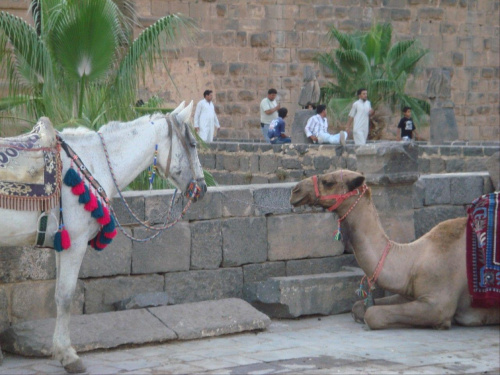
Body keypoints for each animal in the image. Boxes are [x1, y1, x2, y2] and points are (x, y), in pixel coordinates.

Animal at [0, 100, 206, 374]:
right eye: (192, 144)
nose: (202, 188)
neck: (92, 159)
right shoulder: (74, 243)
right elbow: (65, 296)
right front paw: (68, 355)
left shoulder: (62, 244)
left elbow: (58, 295)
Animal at [290, 169, 500, 330]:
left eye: (328, 182)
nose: (295, 191)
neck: (413, 258)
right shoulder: (408, 291)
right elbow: (358, 306)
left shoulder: (439, 303)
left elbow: (372, 315)